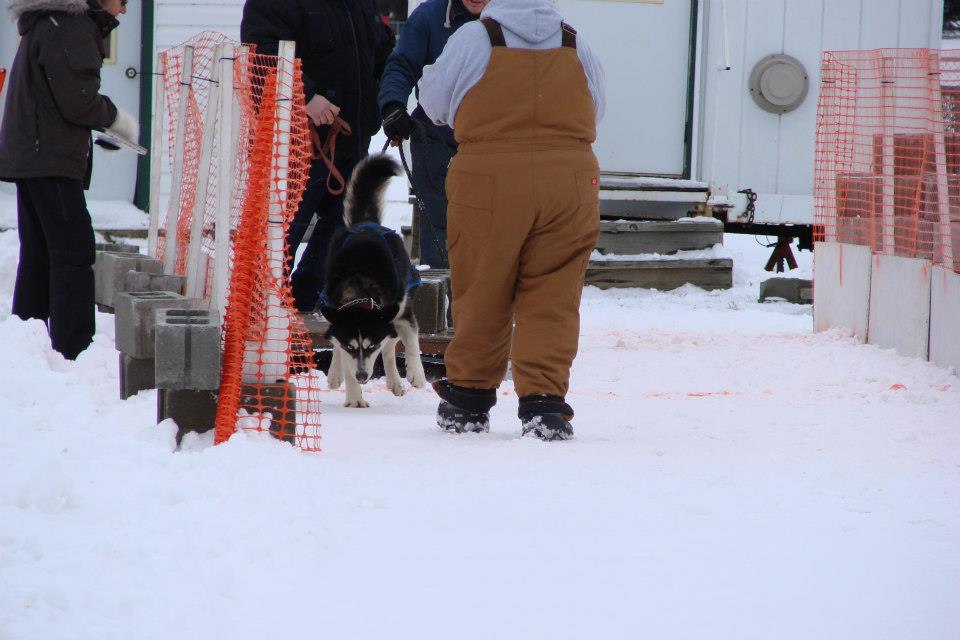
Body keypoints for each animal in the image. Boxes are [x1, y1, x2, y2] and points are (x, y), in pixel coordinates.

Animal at [316, 153, 426, 408]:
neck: (361, 287)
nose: (363, 376)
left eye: (371, 345)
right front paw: (355, 397)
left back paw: (396, 381)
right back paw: (335, 374)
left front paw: (416, 373)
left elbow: (409, 343)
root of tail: (367, 224)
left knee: (391, 346)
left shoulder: (400, 313)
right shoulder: (344, 332)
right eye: (352, 346)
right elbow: (340, 349)